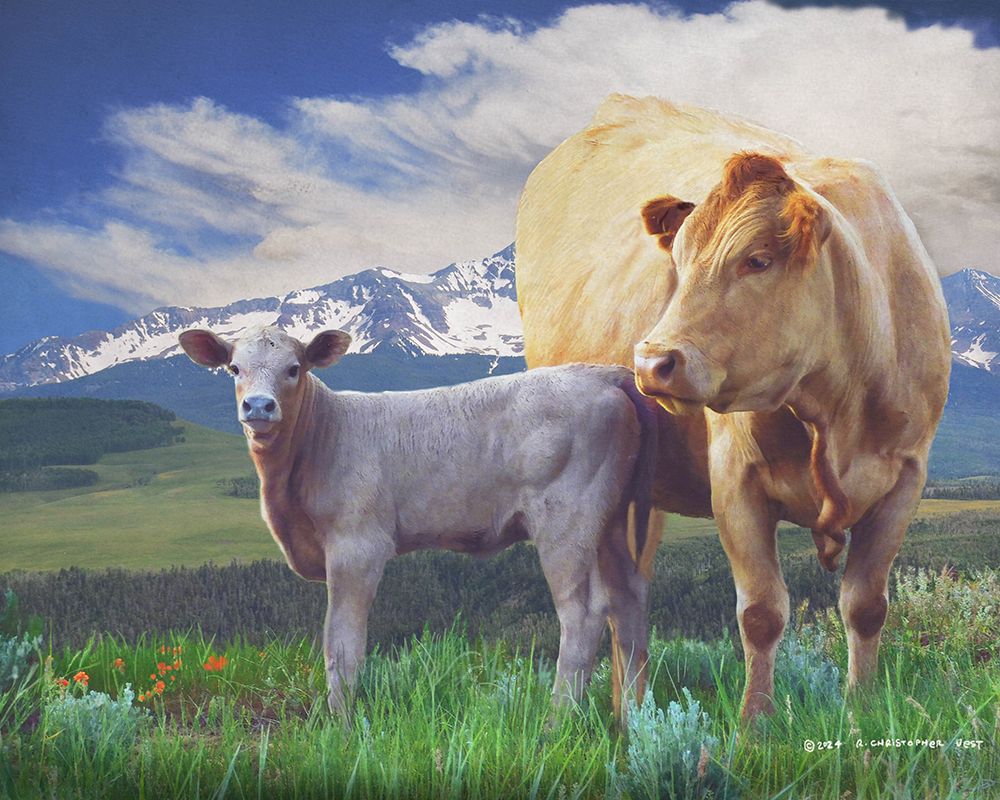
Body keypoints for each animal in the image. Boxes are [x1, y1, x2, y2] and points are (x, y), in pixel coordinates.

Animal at [178, 325, 659, 717]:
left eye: (294, 368)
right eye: (233, 368)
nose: (259, 406)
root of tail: (597, 373)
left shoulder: (357, 546)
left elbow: (342, 644)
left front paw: (341, 725)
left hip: (567, 521)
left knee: (583, 613)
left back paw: (556, 721)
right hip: (610, 521)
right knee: (629, 602)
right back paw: (631, 723)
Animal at [515, 94, 950, 720]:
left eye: (759, 260)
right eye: (679, 260)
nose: (652, 361)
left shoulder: (907, 478)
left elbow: (866, 605)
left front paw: (861, 709)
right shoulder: (736, 480)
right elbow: (762, 612)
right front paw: (754, 723)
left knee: (631, 593)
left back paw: (631, 716)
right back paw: (628, 718)